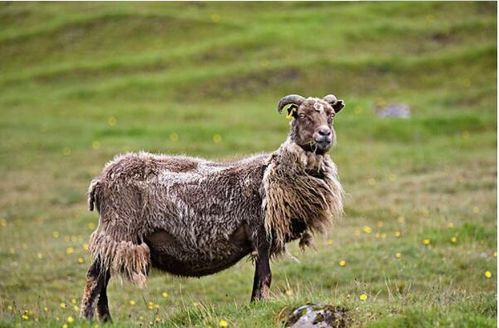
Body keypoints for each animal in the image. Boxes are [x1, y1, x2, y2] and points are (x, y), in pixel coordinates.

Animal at [80, 93, 346, 322]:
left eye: (331, 115)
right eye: (302, 115)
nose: (325, 134)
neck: (271, 172)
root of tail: (99, 181)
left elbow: (259, 279)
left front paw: (254, 306)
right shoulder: (260, 235)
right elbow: (264, 278)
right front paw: (258, 306)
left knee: (103, 277)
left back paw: (105, 321)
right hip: (118, 229)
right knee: (95, 277)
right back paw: (89, 319)